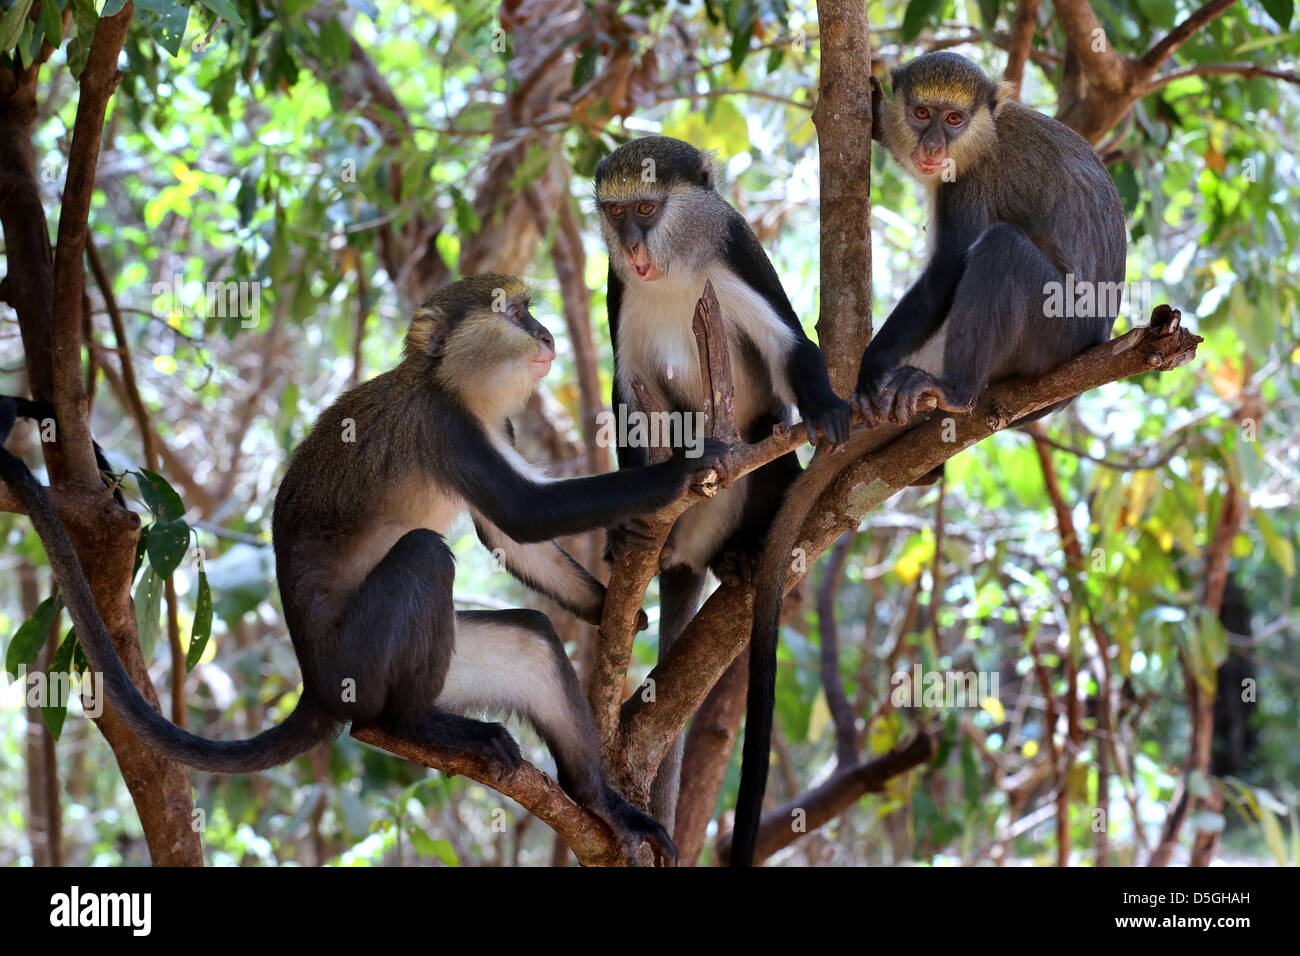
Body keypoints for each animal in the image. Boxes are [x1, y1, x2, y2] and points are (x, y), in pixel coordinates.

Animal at [0, 273, 728, 863]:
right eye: (516, 313)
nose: (544, 333)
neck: (447, 384)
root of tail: (316, 685)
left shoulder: (493, 429)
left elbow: (509, 537)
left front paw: (612, 606)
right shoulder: (444, 428)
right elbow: (523, 515)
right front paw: (682, 473)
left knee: (532, 642)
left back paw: (599, 800)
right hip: (359, 660)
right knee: (424, 558)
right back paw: (411, 726)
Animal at [592, 132, 852, 837]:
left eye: (647, 208)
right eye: (616, 213)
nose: (633, 248)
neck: (675, 270)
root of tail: (684, 556)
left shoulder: (736, 256)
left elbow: (790, 350)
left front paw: (826, 410)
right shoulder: (617, 293)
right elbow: (628, 401)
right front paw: (628, 517)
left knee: (770, 452)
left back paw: (741, 555)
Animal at [738, 54, 1133, 868]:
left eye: (953, 120)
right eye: (922, 113)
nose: (929, 144)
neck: (979, 137)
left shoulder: (968, 185)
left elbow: (954, 264)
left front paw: (868, 373)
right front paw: (867, 99)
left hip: (1049, 336)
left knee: (1001, 253)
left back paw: (950, 391)